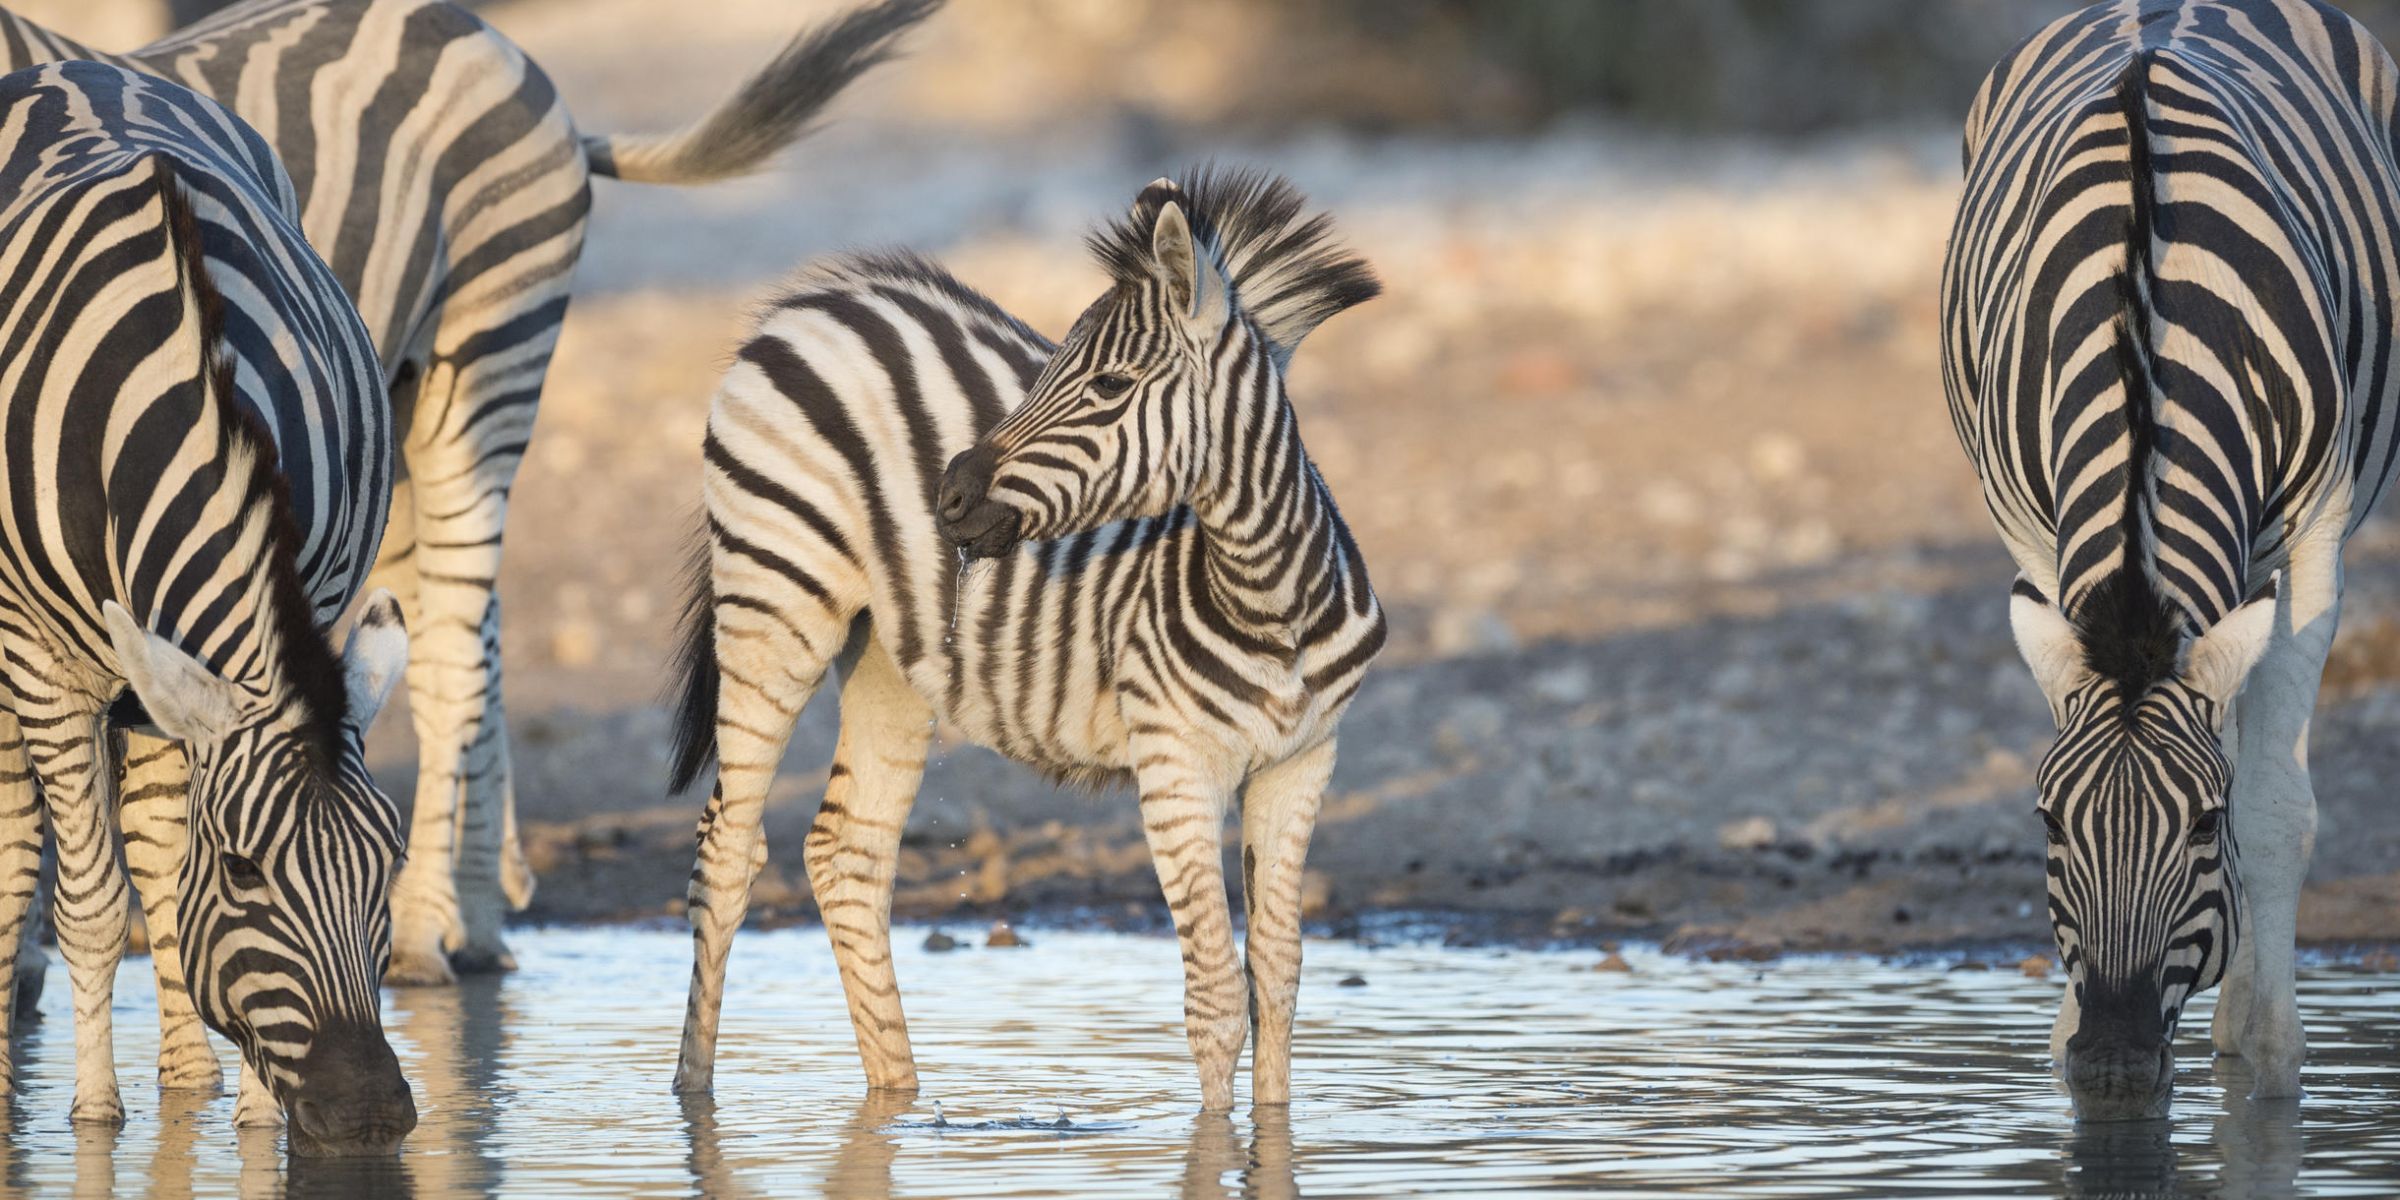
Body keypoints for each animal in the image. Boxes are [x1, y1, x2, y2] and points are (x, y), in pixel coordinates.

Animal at [0, 0, 943, 1003]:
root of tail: (486, 36)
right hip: (398, 426)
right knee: (471, 630)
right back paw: (482, 919)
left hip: (486, 365)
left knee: (452, 650)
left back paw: (424, 937)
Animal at [0, 60, 413, 1152]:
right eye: (243, 872)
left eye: (389, 864)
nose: (370, 1115)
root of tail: (77, 67)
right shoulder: (43, 660)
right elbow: (91, 906)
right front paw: (93, 1118)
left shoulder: (298, 602)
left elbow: (163, 873)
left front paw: (256, 1122)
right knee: (24, 852)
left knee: (150, 832)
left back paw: (189, 1078)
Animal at [666, 169, 1386, 1110]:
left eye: (1111, 384)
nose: (948, 498)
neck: (1274, 604)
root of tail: (811, 302)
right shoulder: (1174, 761)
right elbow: (1216, 995)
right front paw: (1215, 1133)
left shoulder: (1304, 763)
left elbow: (1278, 977)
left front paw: (1272, 1126)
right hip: (773, 596)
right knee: (725, 851)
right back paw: (692, 1093)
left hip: (885, 654)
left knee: (848, 852)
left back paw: (899, 1095)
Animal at [1941, 0, 2400, 1119]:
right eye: (2049, 823)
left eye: (2201, 826)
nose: (2110, 1067)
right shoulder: (2029, 526)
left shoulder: (2316, 535)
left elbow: (2276, 804)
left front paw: (2265, 1059)